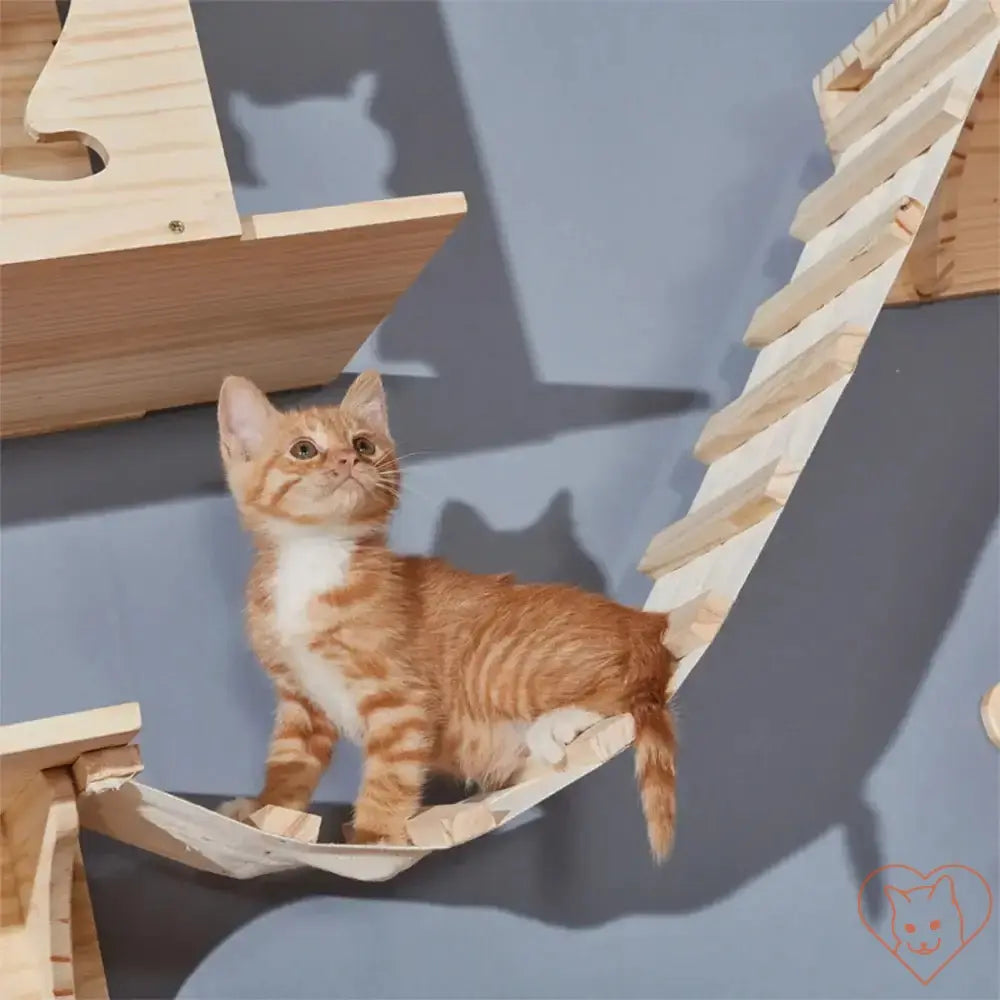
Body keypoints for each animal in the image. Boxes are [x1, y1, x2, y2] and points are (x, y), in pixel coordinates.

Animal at [214, 372, 676, 856]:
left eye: (363, 445)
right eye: (304, 449)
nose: (349, 459)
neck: (315, 556)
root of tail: (645, 622)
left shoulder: (400, 699)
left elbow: (388, 778)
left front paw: (374, 835)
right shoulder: (301, 703)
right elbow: (288, 765)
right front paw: (265, 812)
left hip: (498, 667)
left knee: (627, 693)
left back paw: (558, 723)